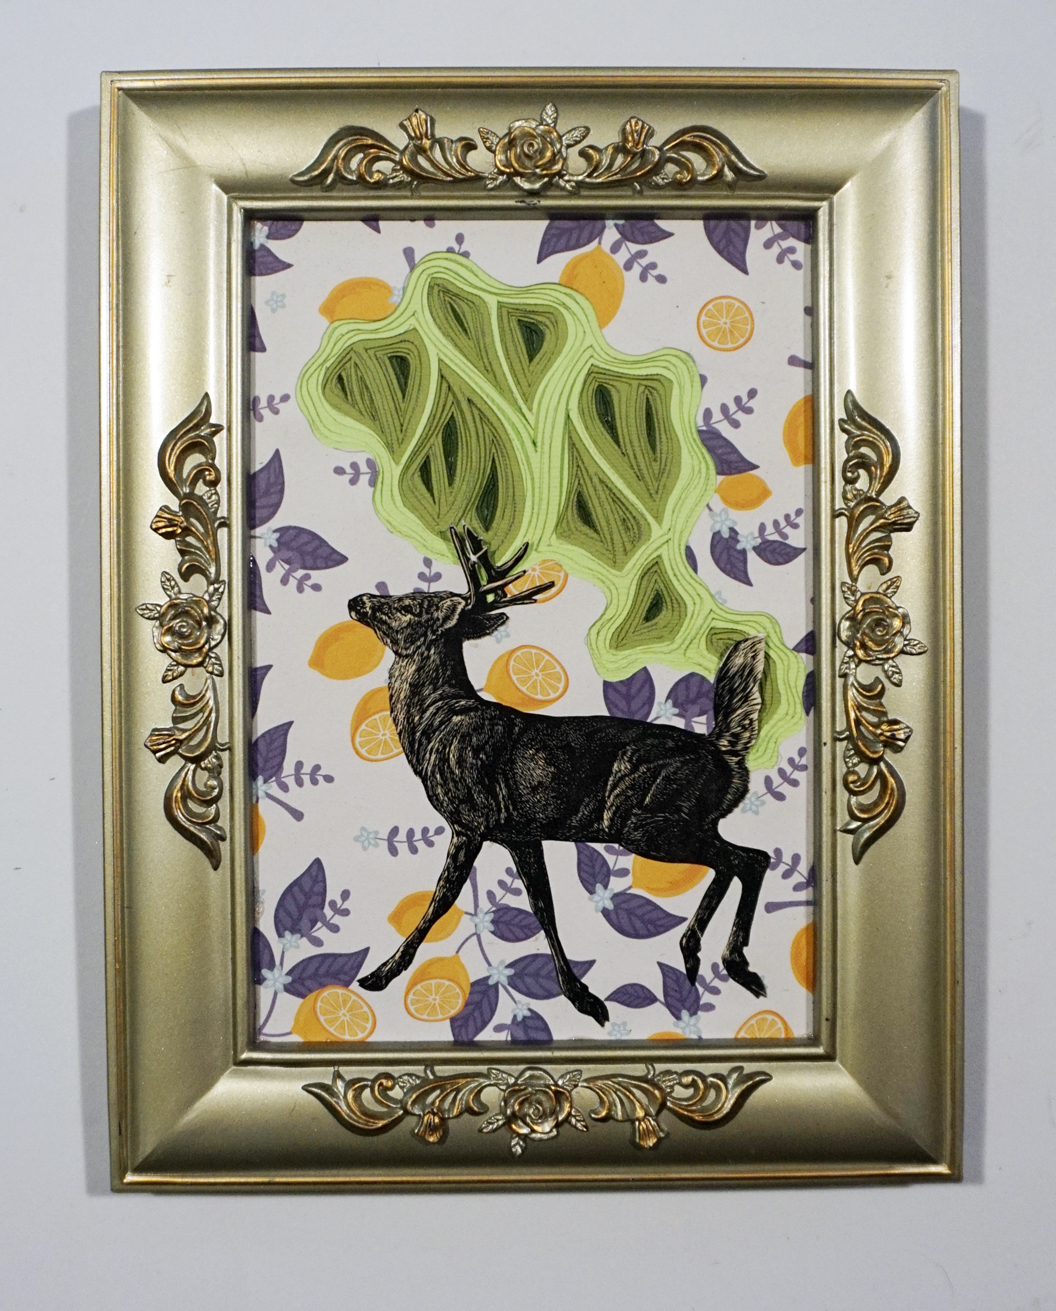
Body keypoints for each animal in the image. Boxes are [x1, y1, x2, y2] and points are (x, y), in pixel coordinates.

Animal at [353, 525, 772, 1028]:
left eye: (412, 605)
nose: (357, 600)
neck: (435, 727)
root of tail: (724, 750)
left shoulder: (471, 821)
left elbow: (443, 900)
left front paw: (380, 974)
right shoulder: (520, 833)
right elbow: (544, 907)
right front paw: (581, 994)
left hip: (645, 819)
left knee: (750, 858)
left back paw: (734, 963)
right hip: (685, 821)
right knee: (736, 860)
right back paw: (694, 954)